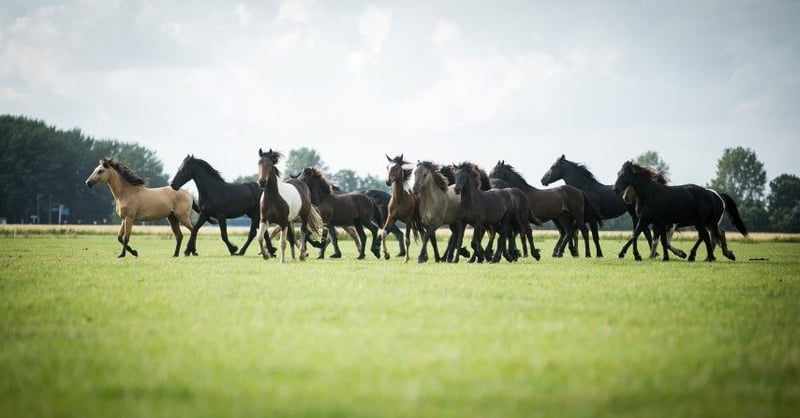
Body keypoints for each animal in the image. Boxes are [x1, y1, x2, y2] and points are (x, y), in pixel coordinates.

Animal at [613, 161, 748, 261]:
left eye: (624, 174)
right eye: (618, 173)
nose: (615, 189)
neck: (651, 195)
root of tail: (712, 194)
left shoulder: (662, 223)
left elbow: (663, 241)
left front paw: (669, 256)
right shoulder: (646, 220)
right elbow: (636, 235)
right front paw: (636, 255)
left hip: (702, 222)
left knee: (707, 236)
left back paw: (708, 257)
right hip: (705, 223)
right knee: (713, 235)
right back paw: (709, 256)